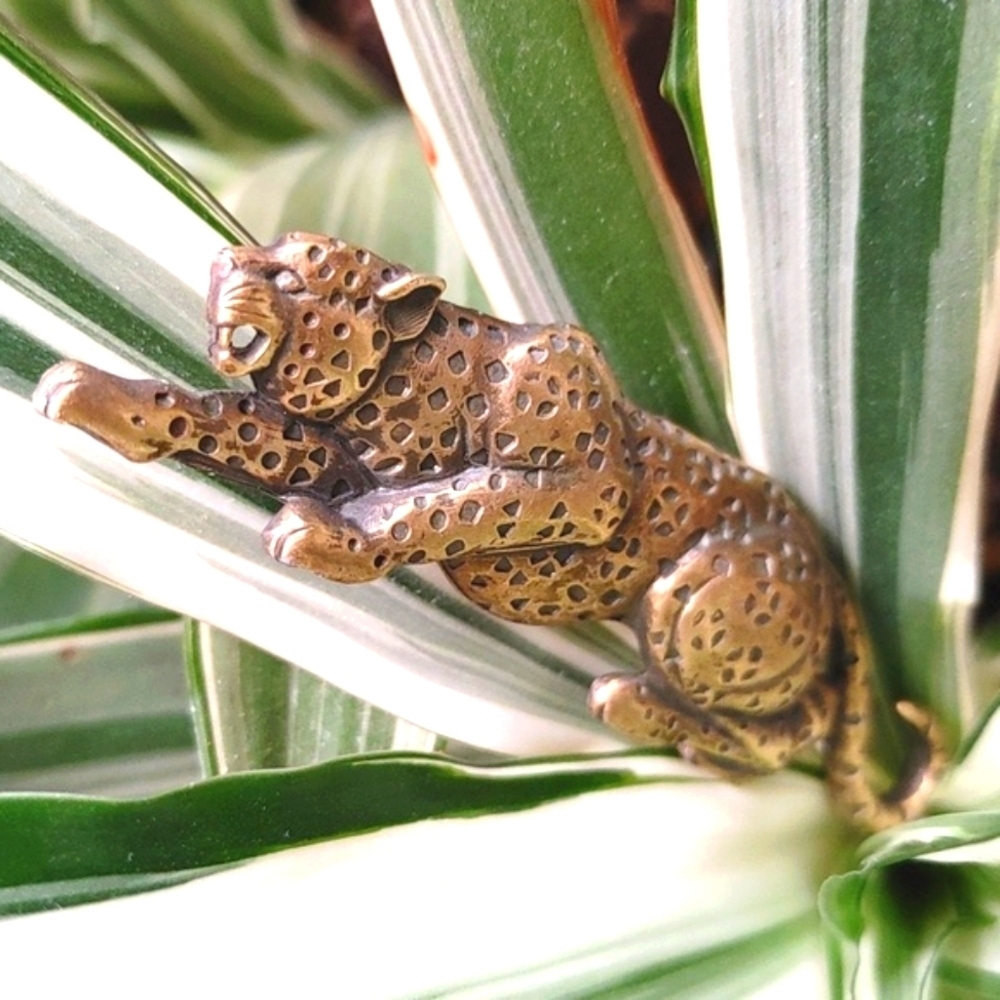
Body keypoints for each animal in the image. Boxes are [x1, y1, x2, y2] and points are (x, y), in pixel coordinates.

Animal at [34, 231, 944, 831]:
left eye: (290, 273)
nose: (223, 262)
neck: (400, 376)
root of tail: (829, 566)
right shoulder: (335, 451)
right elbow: (224, 415)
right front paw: (99, 394)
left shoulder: (591, 486)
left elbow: (460, 500)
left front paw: (340, 541)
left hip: (686, 605)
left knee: (798, 726)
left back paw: (638, 706)